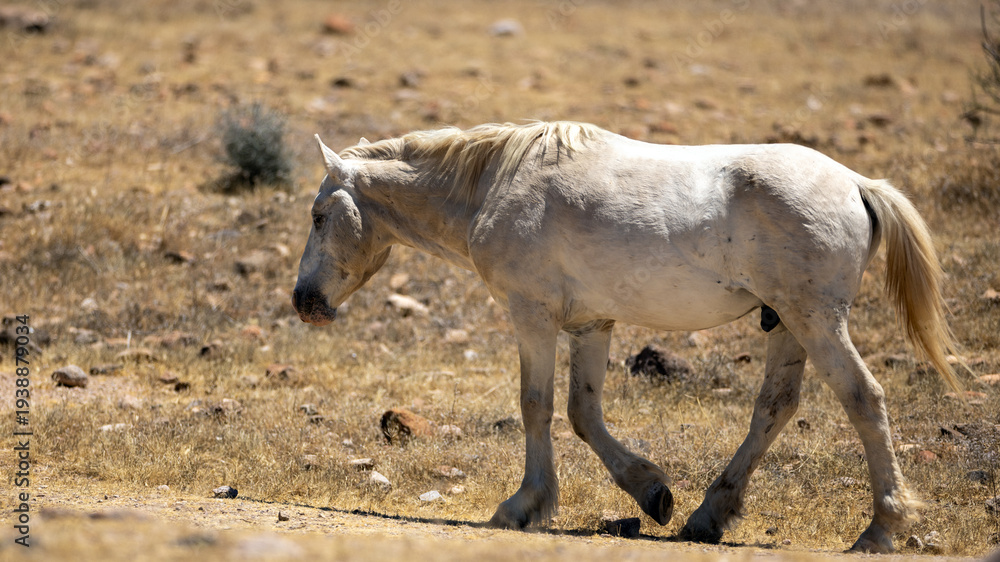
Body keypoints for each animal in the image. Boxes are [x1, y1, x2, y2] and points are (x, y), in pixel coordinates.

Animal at [292, 120, 962, 553]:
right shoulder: (592, 324)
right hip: (789, 325)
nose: (304, 303)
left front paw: (524, 506)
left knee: (864, 399)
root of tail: (855, 183)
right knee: (774, 408)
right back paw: (708, 515)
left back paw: (881, 528)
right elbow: (582, 412)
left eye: (319, 217)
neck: (495, 186)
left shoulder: (532, 316)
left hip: (816, 321)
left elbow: (535, 406)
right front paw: (652, 492)